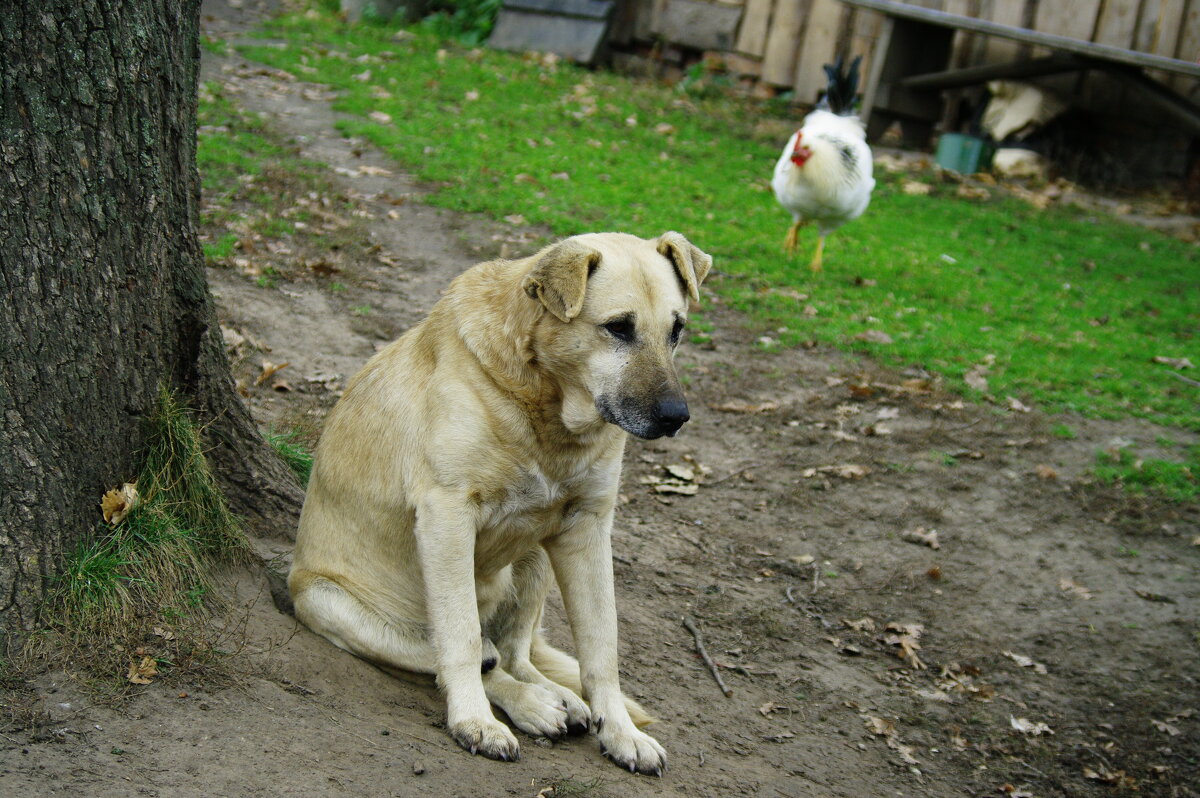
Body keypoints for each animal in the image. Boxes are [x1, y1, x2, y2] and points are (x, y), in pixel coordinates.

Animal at [288, 229, 710, 772]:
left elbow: (602, 649)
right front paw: (474, 721)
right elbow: (462, 639)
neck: (545, 409)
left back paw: (554, 697)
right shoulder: (447, 517)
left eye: (676, 330)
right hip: (327, 600)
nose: (676, 416)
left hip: (533, 558)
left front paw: (619, 731)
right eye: (618, 327)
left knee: (516, 652)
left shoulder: (587, 528)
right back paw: (530, 704)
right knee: (471, 654)